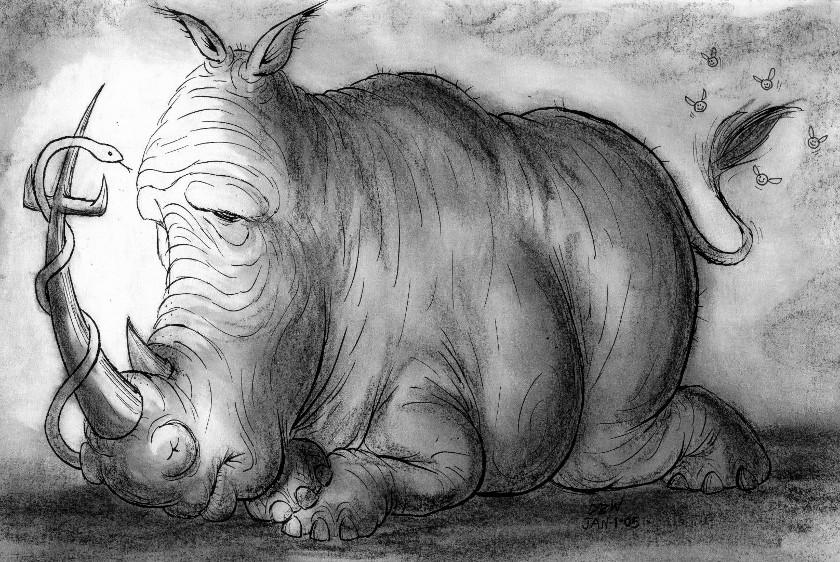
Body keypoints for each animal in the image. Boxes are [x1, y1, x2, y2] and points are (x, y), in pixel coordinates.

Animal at [27, 3, 797, 541]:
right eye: (160, 234)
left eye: (230, 218)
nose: (141, 482)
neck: (318, 203)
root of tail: (661, 183)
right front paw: (287, 497)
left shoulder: (432, 387)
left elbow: (443, 465)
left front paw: (318, 519)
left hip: (627, 244)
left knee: (604, 455)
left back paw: (722, 478)